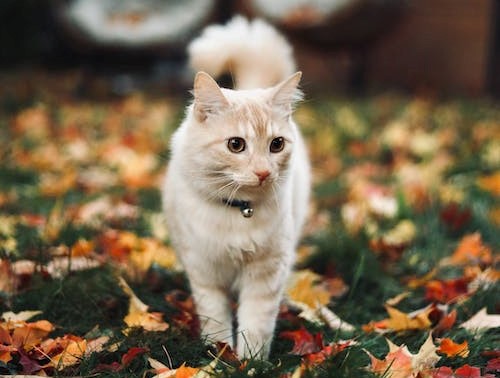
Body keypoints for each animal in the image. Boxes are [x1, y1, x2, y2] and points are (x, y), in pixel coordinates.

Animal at [164, 15, 310, 358]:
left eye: (276, 145)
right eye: (235, 145)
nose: (262, 172)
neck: (239, 211)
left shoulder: (266, 274)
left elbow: (256, 324)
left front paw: (249, 360)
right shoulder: (205, 273)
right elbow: (215, 320)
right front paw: (219, 354)